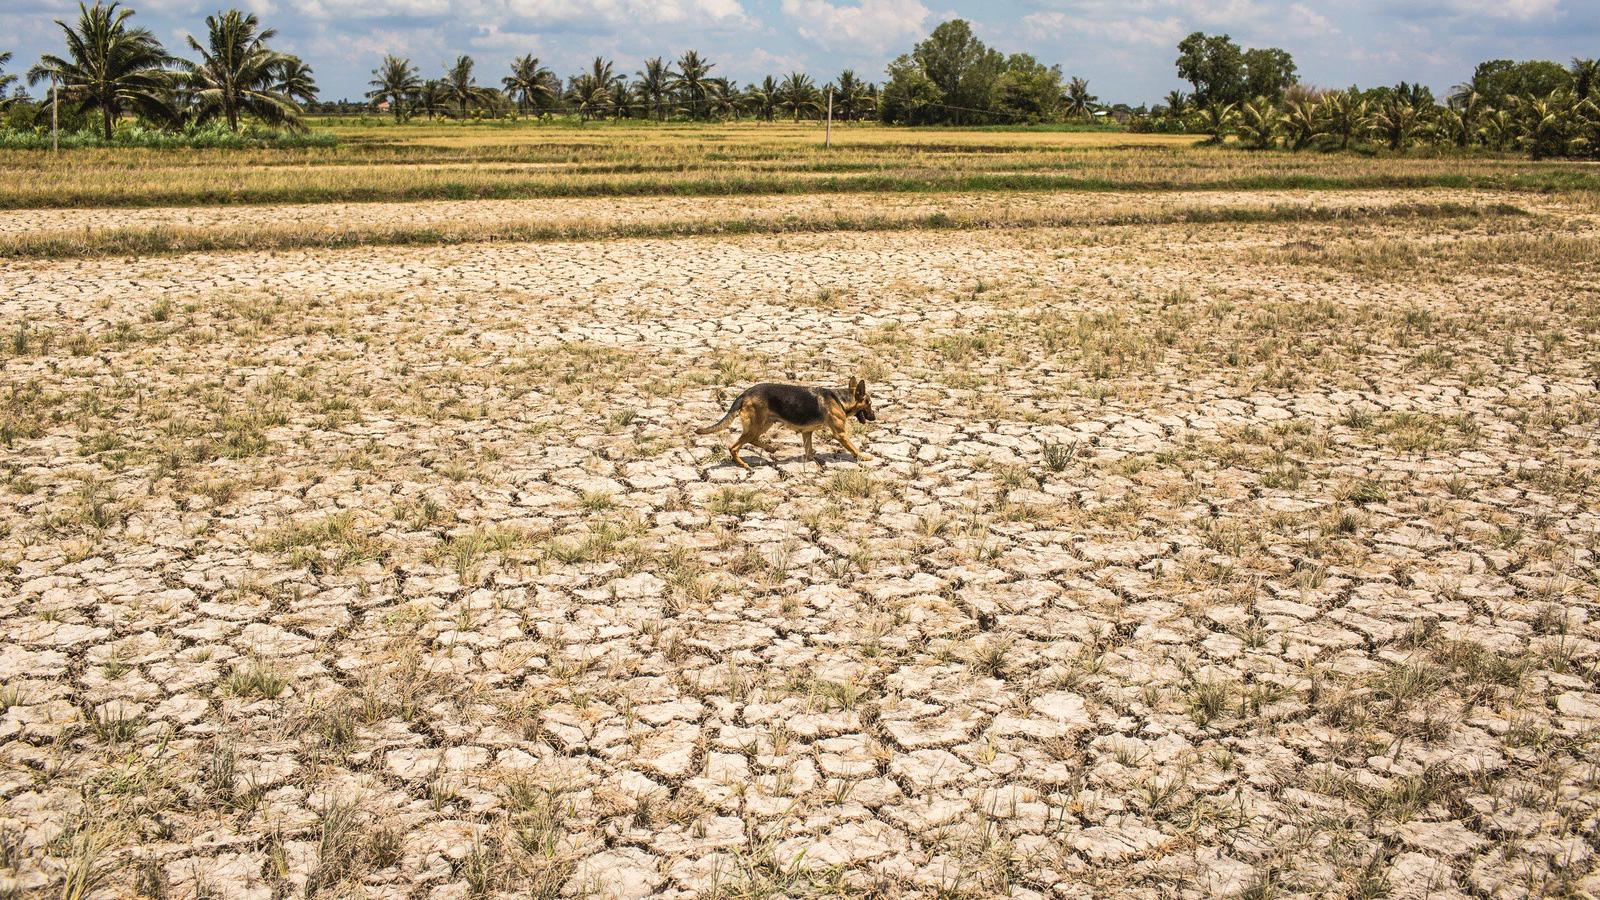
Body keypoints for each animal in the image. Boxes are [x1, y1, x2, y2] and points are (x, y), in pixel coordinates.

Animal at [697, 376, 876, 470]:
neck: (841, 399)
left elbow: (809, 450)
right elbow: (852, 447)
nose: (874, 417)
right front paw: (863, 456)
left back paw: (771, 448)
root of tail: (745, 393)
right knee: (734, 446)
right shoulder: (840, 434)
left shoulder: (807, 432)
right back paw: (743, 464)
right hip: (756, 425)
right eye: (869, 403)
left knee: (752, 440)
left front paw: (815, 461)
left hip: (764, 424)